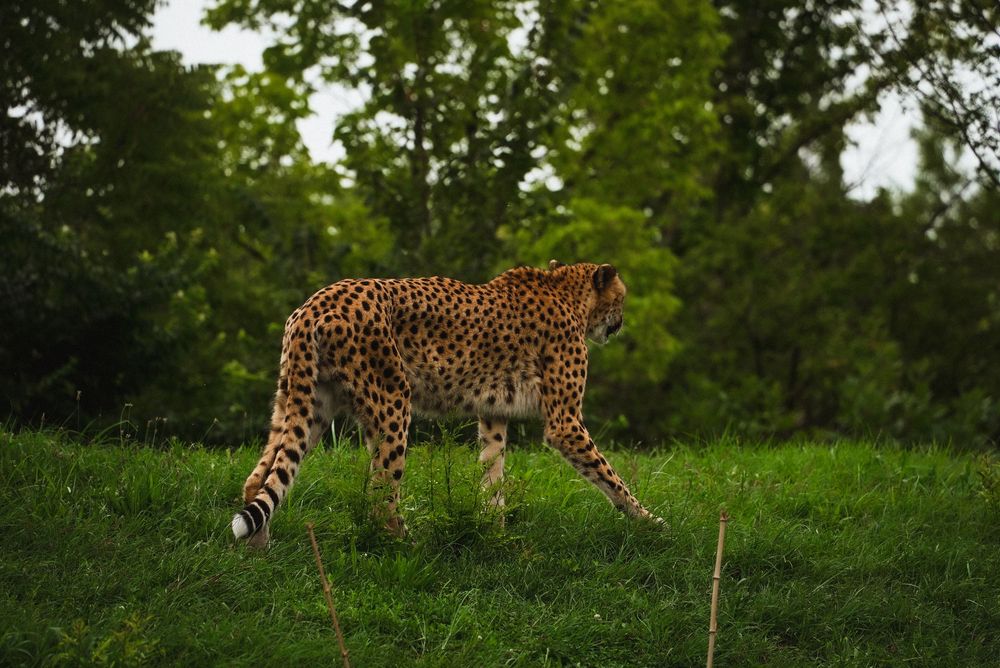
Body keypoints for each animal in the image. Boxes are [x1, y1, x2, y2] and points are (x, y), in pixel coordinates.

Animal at [232, 260, 662, 547]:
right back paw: (409, 544)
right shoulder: (565, 423)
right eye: (622, 299)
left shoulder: (493, 414)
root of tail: (317, 301)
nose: (619, 323)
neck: (566, 291)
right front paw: (649, 521)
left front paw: (494, 533)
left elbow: (492, 473)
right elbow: (609, 476)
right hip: (392, 402)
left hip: (305, 403)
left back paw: (259, 549)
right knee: (382, 492)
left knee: (262, 476)